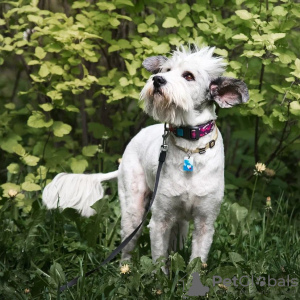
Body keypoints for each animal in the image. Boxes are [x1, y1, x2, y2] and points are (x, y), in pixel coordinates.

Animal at [42, 46, 248, 268]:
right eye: (166, 70)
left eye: (188, 76)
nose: (157, 79)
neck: (190, 146)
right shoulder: (159, 221)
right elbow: (159, 264)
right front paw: (160, 277)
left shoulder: (205, 223)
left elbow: (196, 263)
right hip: (133, 210)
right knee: (127, 246)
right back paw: (125, 270)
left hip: (181, 223)